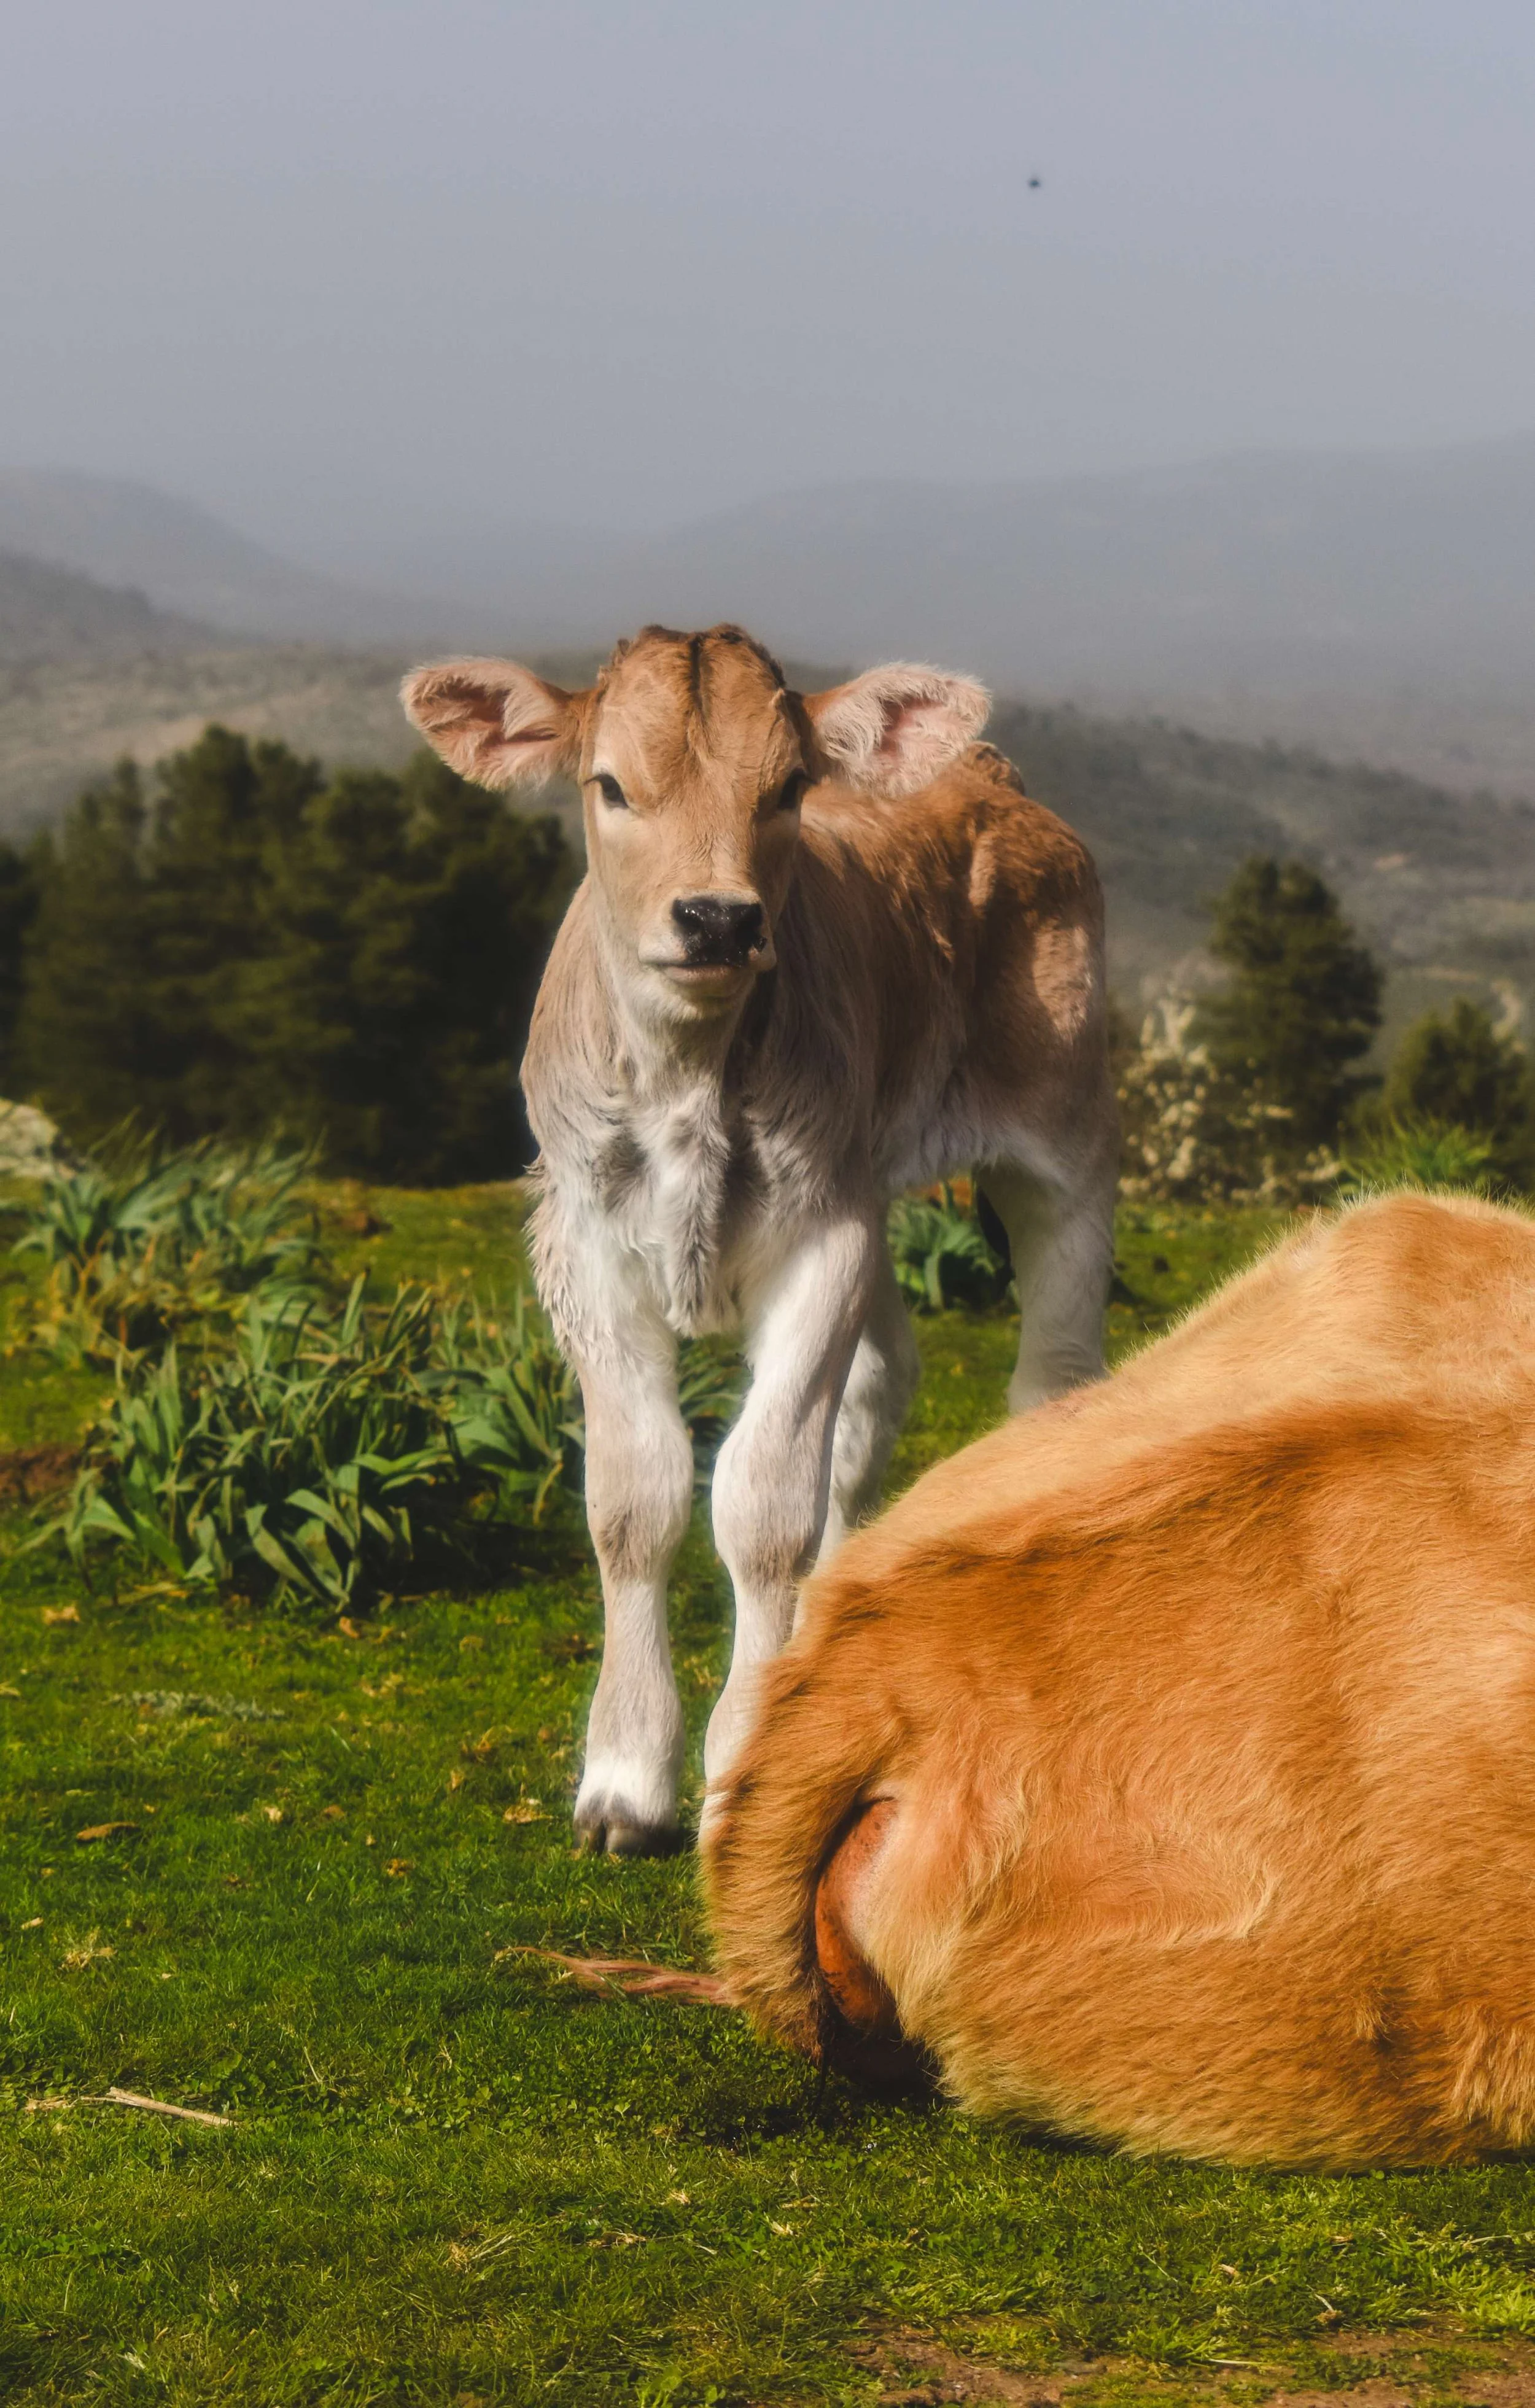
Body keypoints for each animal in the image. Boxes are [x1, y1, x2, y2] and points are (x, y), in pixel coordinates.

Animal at [402, 624, 1116, 1856]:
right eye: (610, 786)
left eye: (786, 789)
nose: (719, 919)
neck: (690, 1074)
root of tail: (990, 776)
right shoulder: (585, 1240)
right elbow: (635, 1497)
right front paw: (624, 1777)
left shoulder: (824, 1235)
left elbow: (764, 1500)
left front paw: (736, 1772)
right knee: (881, 1381)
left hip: (1063, 1140)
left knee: (1049, 1381)